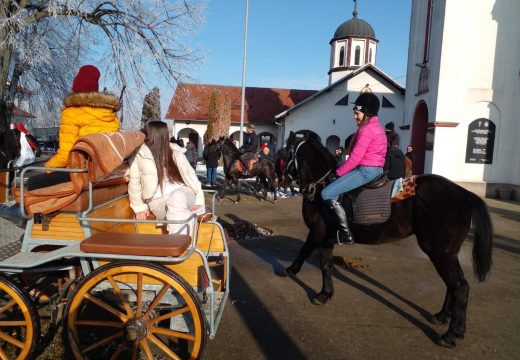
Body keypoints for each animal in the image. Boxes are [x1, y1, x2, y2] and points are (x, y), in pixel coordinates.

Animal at [282, 131, 494, 348]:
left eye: (286, 151)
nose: (282, 178)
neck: (322, 186)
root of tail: (463, 193)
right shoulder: (321, 234)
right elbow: (307, 251)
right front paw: (293, 270)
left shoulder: (321, 233)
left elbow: (323, 263)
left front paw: (323, 294)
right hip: (447, 253)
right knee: (453, 285)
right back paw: (442, 316)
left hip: (439, 251)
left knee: (460, 286)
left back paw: (452, 334)